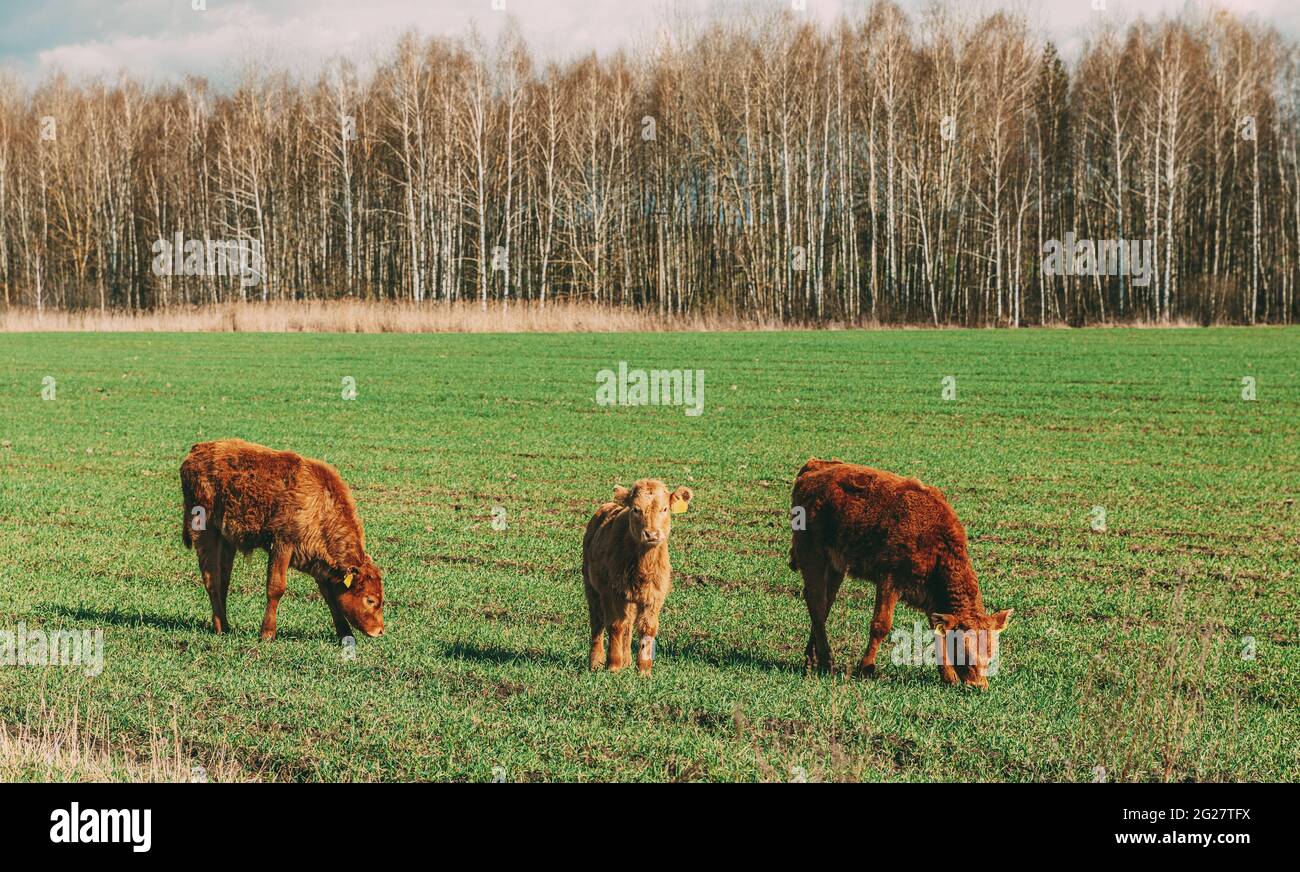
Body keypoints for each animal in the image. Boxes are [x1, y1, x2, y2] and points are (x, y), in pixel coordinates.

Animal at [182, 444, 384, 641]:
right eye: (370, 600)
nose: (380, 630)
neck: (320, 504)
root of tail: (197, 450)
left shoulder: (318, 559)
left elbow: (330, 596)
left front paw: (345, 634)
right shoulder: (282, 545)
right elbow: (276, 588)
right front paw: (267, 634)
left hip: (226, 542)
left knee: (223, 581)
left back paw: (225, 625)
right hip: (205, 532)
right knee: (212, 580)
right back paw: (221, 627)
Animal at [585, 478, 696, 675]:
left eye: (665, 509)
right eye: (636, 509)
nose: (651, 534)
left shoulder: (655, 595)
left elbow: (647, 628)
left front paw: (644, 669)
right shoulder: (612, 592)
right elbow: (615, 625)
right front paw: (613, 666)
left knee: (628, 625)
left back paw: (627, 660)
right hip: (591, 586)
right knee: (597, 623)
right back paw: (596, 662)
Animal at [785, 457, 1008, 691]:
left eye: (990, 652)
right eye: (965, 650)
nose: (978, 684)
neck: (936, 541)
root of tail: (815, 466)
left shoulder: (932, 600)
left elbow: (937, 633)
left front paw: (948, 676)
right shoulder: (890, 580)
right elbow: (880, 625)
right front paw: (866, 669)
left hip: (835, 566)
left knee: (824, 604)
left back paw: (812, 658)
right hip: (813, 556)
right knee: (817, 603)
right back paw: (826, 661)